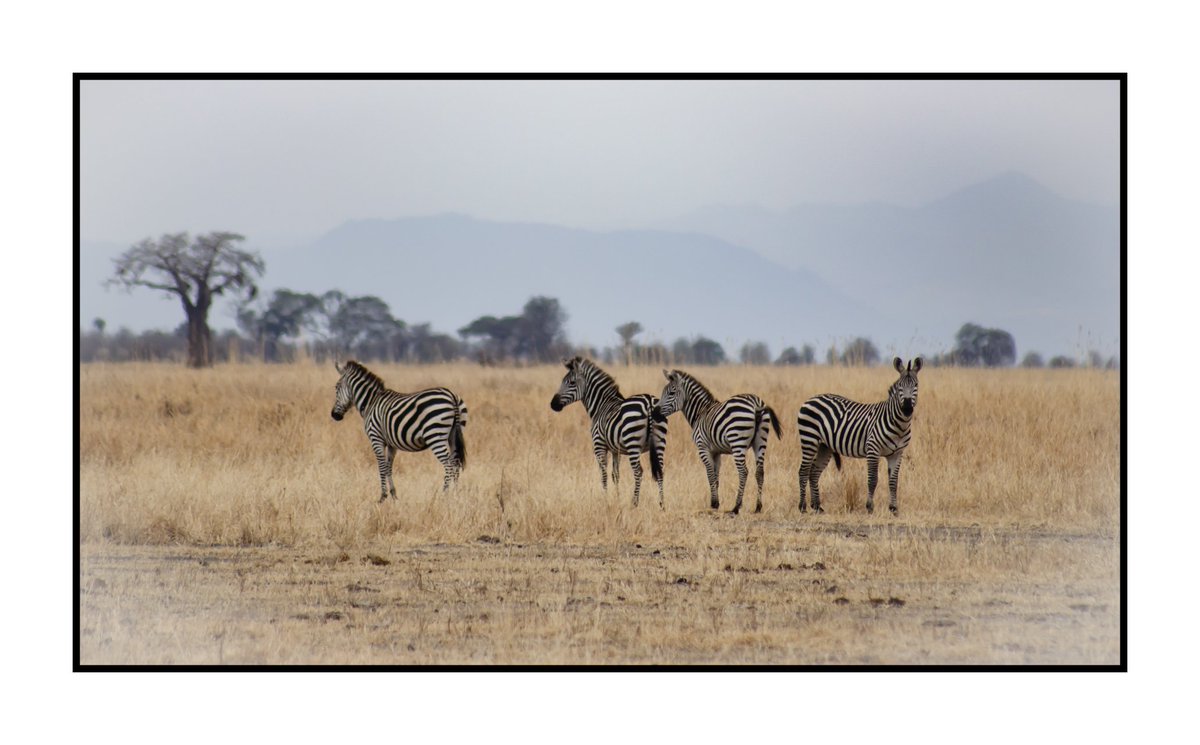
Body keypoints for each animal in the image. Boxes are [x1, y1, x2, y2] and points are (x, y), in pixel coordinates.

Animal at [331, 359, 465, 501]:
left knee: (448, 464)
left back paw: (444, 495)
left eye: (336, 387)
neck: (371, 402)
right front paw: (394, 495)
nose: (334, 415)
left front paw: (382, 497)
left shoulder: (376, 438)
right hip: (453, 436)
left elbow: (382, 467)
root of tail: (451, 396)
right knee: (456, 464)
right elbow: (388, 467)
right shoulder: (391, 444)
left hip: (435, 436)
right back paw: (455, 495)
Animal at [549, 355, 672, 506]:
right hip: (660, 441)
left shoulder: (599, 446)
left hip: (633, 443)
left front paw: (605, 499)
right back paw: (662, 504)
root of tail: (648, 402)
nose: (553, 404)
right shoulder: (615, 449)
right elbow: (615, 474)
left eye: (572, 383)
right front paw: (617, 498)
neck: (601, 405)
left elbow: (604, 474)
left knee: (638, 472)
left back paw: (634, 503)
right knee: (660, 471)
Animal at [652, 369, 782, 513]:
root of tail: (756, 404)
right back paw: (758, 507)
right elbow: (716, 477)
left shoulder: (702, 447)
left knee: (743, 471)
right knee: (759, 472)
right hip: (760, 441)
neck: (700, 412)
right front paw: (716, 503)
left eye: (671, 393)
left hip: (737, 441)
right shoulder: (716, 452)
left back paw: (736, 507)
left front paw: (714, 504)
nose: (654, 413)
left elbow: (709, 474)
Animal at [796, 357, 926, 513]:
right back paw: (802, 507)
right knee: (803, 471)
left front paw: (894, 509)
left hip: (824, 446)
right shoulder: (873, 449)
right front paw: (869, 507)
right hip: (809, 439)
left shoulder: (897, 453)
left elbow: (893, 481)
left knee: (814, 472)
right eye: (900, 386)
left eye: (916, 385)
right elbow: (873, 479)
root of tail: (811, 398)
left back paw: (817, 507)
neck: (899, 425)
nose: (907, 408)